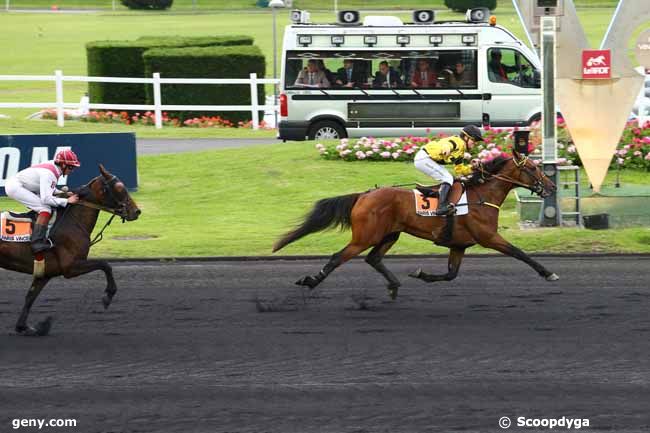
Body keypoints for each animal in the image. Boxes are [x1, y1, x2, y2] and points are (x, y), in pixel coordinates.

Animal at [0, 164, 140, 336]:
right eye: (119, 187)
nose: (136, 211)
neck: (72, 221)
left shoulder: (44, 272)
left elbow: (30, 297)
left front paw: (26, 327)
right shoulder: (70, 267)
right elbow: (105, 265)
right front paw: (108, 296)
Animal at [274, 150, 556, 298]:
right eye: (533, 167)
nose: (552, 186)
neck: (480, 196)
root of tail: (363, 195)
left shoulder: (459, 245)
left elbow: (451, 274)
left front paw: (421, 274)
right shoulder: (488, 237)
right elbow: (519, 253)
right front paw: (548, 272)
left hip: (390, 234)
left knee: (373, 258)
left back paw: (394, 285)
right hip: (365, 236)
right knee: (337, 257)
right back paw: (310, 281)